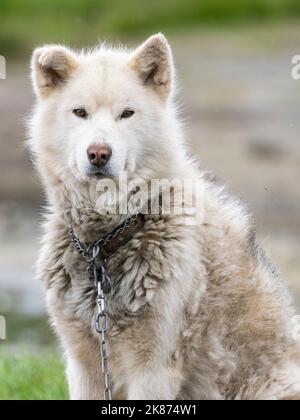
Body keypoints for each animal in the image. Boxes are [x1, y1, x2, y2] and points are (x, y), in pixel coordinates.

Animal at [29, 33, 300, 400]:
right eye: (80, 113)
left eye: (127, 114)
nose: (98, 153)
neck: (106, 244)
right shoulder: (84, 365)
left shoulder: (153, 369)